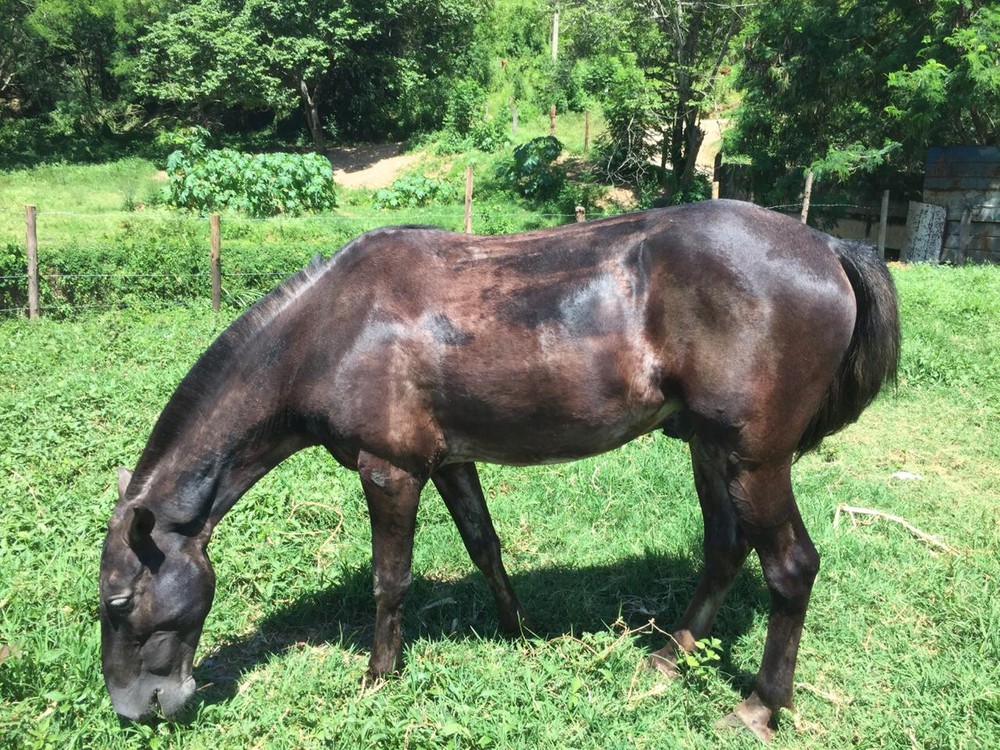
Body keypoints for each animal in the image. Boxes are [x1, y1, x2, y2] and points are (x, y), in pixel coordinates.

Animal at [99, 199, 899, 741]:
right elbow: (485, 546)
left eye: (118, 603)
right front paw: (519, 633)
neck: (332, 330)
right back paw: (668, 658)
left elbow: (390, 580)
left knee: (791, 567)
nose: (135, 710)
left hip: (753, 457)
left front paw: (378, 677)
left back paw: (761, 705)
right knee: (726, 549)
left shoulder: (390, 472)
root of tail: (826, 246)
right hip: (710, 447)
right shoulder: (450, 461)